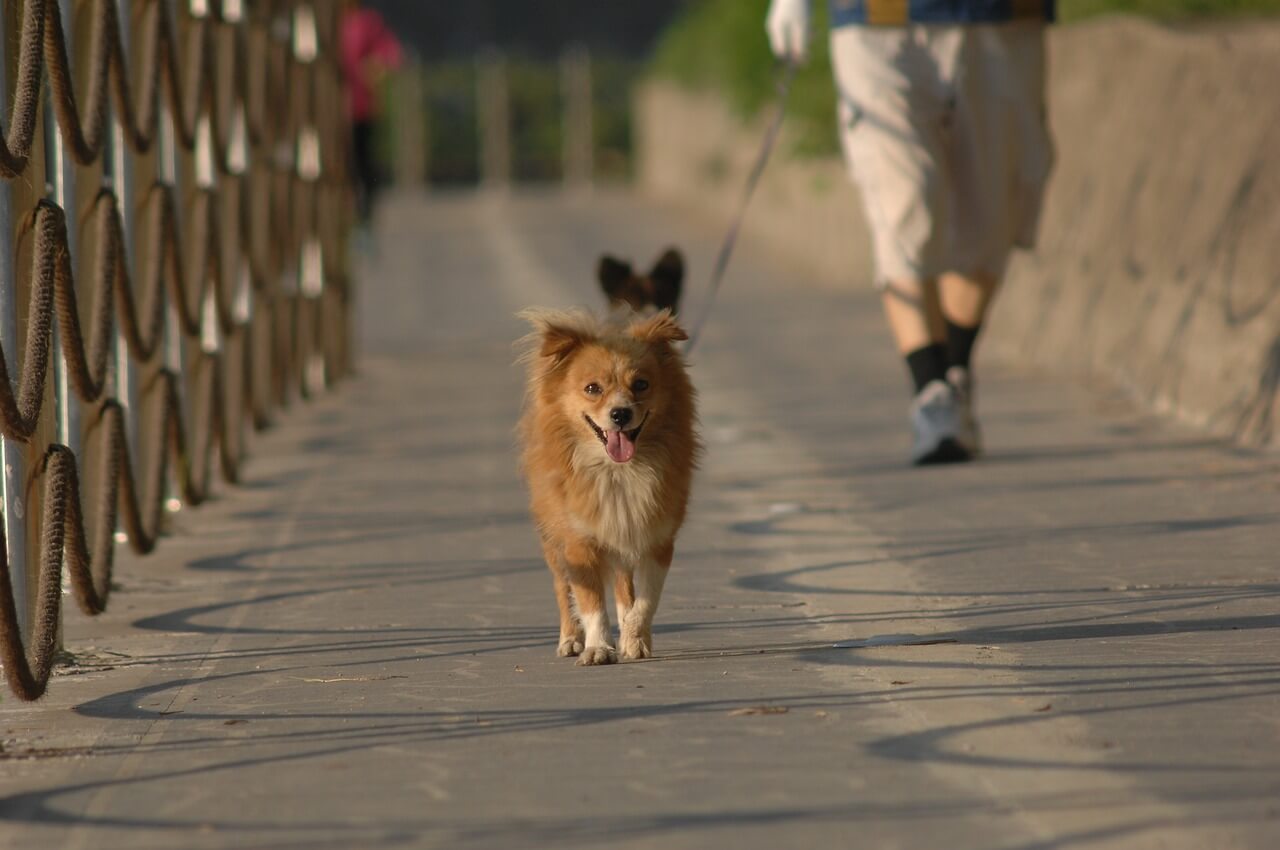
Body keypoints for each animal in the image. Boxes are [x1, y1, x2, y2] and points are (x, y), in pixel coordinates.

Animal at [517, 308, 701, 665]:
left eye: (641, 384)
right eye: (592, 388)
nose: (620, 414)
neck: (617, 472)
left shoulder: (655, 540)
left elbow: (645, 600)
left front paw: (634, 638)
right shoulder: (579, 543)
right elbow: (591, 604)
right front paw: (598, 647)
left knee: (623, 586)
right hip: (552, 541)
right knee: (563, 590)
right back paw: (571, 639)